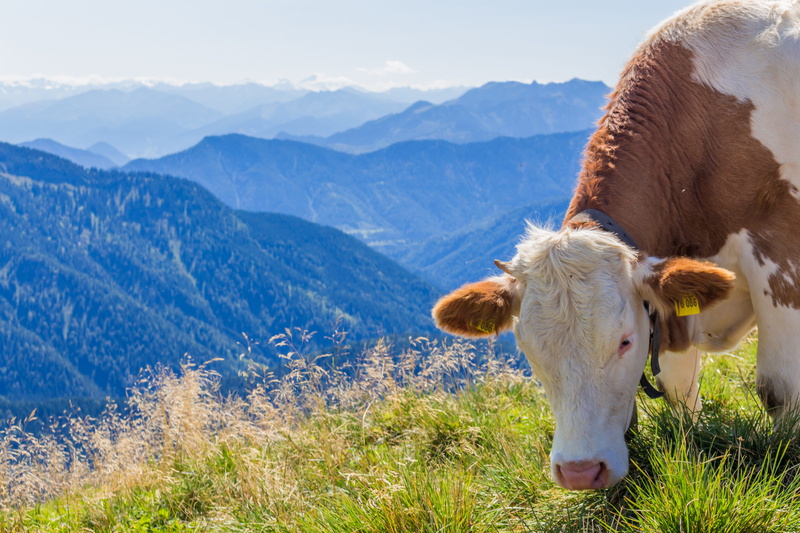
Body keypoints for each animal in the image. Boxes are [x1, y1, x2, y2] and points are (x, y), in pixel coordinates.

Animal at [432, 0, 800, 490]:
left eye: (625, 342)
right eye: (527, 349)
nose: (579, 470)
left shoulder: (779, 252)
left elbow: (779, 388)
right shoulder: (674, 299)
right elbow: (679, 385)